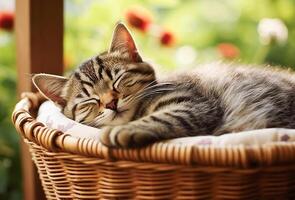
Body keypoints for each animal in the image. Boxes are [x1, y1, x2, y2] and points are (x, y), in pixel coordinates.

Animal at [33, 23, 295, 148]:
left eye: (118, 79)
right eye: (89, 100)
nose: (111, 102)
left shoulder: (193, 103)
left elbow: (163, 117)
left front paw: (122, 130)